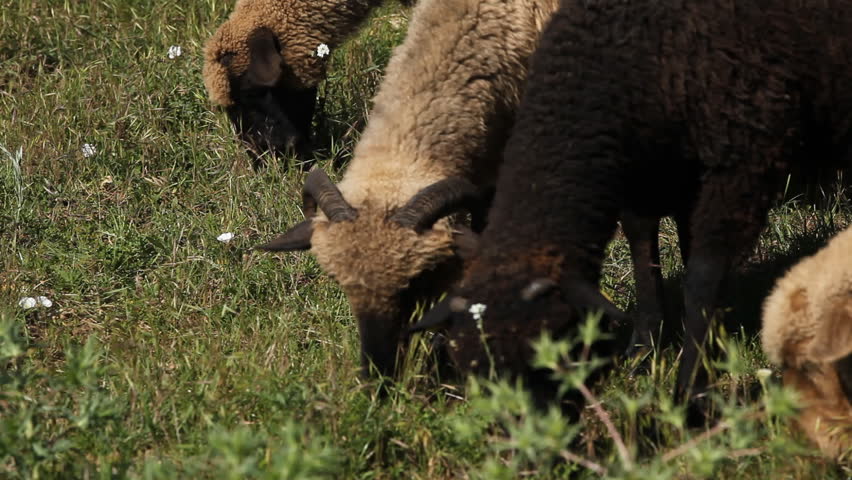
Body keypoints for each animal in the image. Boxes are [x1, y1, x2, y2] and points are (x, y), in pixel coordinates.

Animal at [411, 0, 852, 423]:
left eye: (553, 345)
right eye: (473, 371)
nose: (531, 437)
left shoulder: (743, 161)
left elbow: (702, 279)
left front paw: (691, 394)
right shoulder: (654, 170)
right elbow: (645, 248)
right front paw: (647, 348)